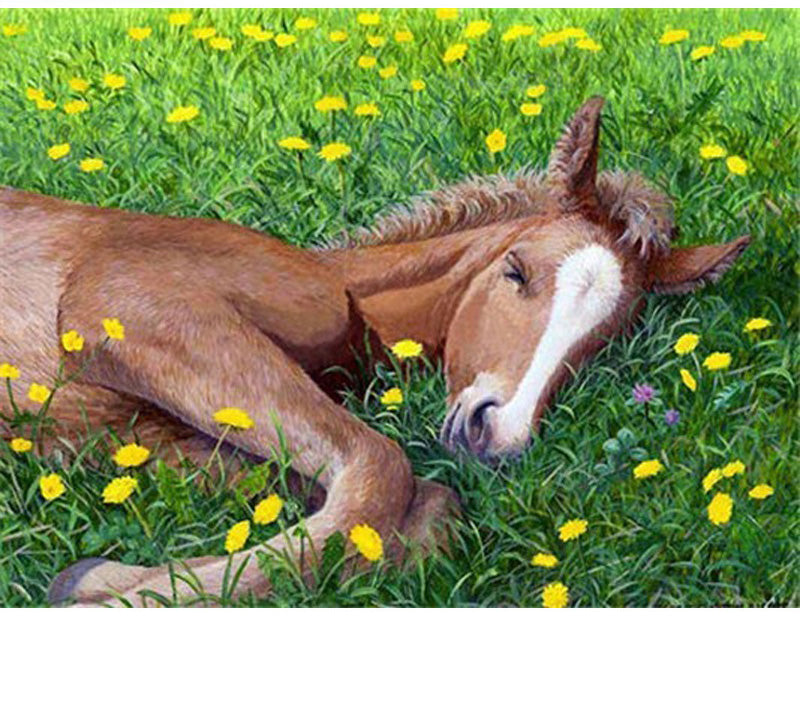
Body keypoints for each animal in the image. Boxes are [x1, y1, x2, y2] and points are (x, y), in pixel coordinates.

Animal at [0, 97, 749, 606]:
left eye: (604, 341)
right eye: (515, 271)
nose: (498, 438)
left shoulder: (131, 435)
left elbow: (413, 505)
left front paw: (95, 578)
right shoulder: (135, 311)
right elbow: (382, 471)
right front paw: (99, 595)